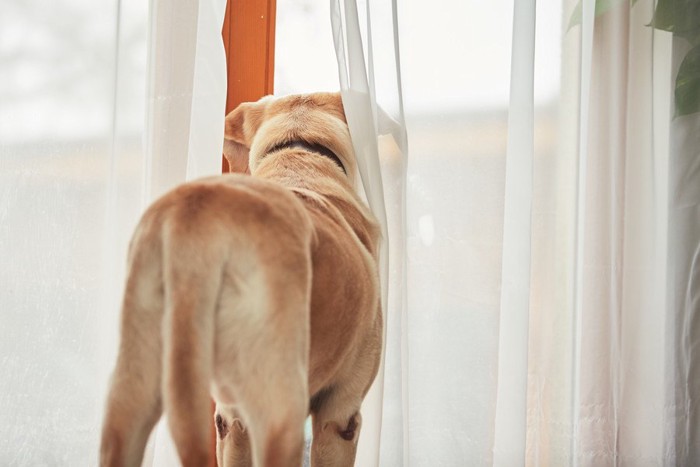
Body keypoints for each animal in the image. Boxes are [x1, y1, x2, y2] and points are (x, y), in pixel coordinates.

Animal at [99, 93, 382, 467]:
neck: (298, 154)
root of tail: (199, 224)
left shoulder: (231, 420)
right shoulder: (340, 413)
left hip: (130, 395)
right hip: (281, 411)